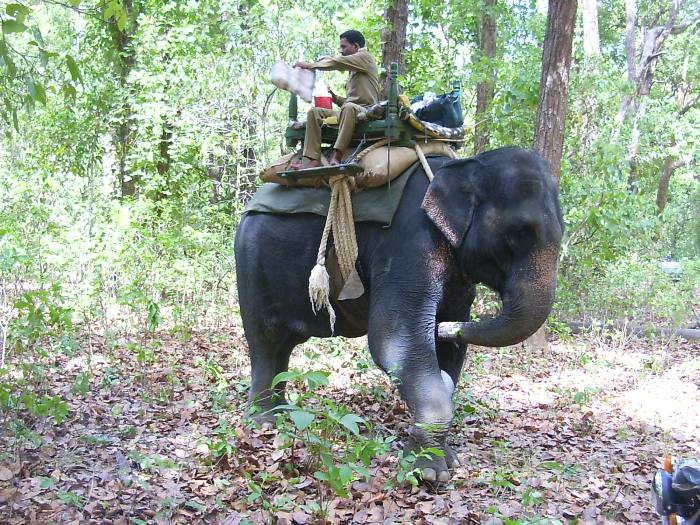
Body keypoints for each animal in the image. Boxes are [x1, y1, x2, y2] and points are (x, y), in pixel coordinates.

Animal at [235, 145, 564, 482]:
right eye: (521, 232)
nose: (442, 326)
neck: (459, 168)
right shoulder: (409, 243)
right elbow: (393, 342)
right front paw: (429, 473)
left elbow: (451, 353)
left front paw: (446, 458)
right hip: (251, 262)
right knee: (266, 340)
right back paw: (264, 422)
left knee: (282, 347)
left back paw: (283, 413)